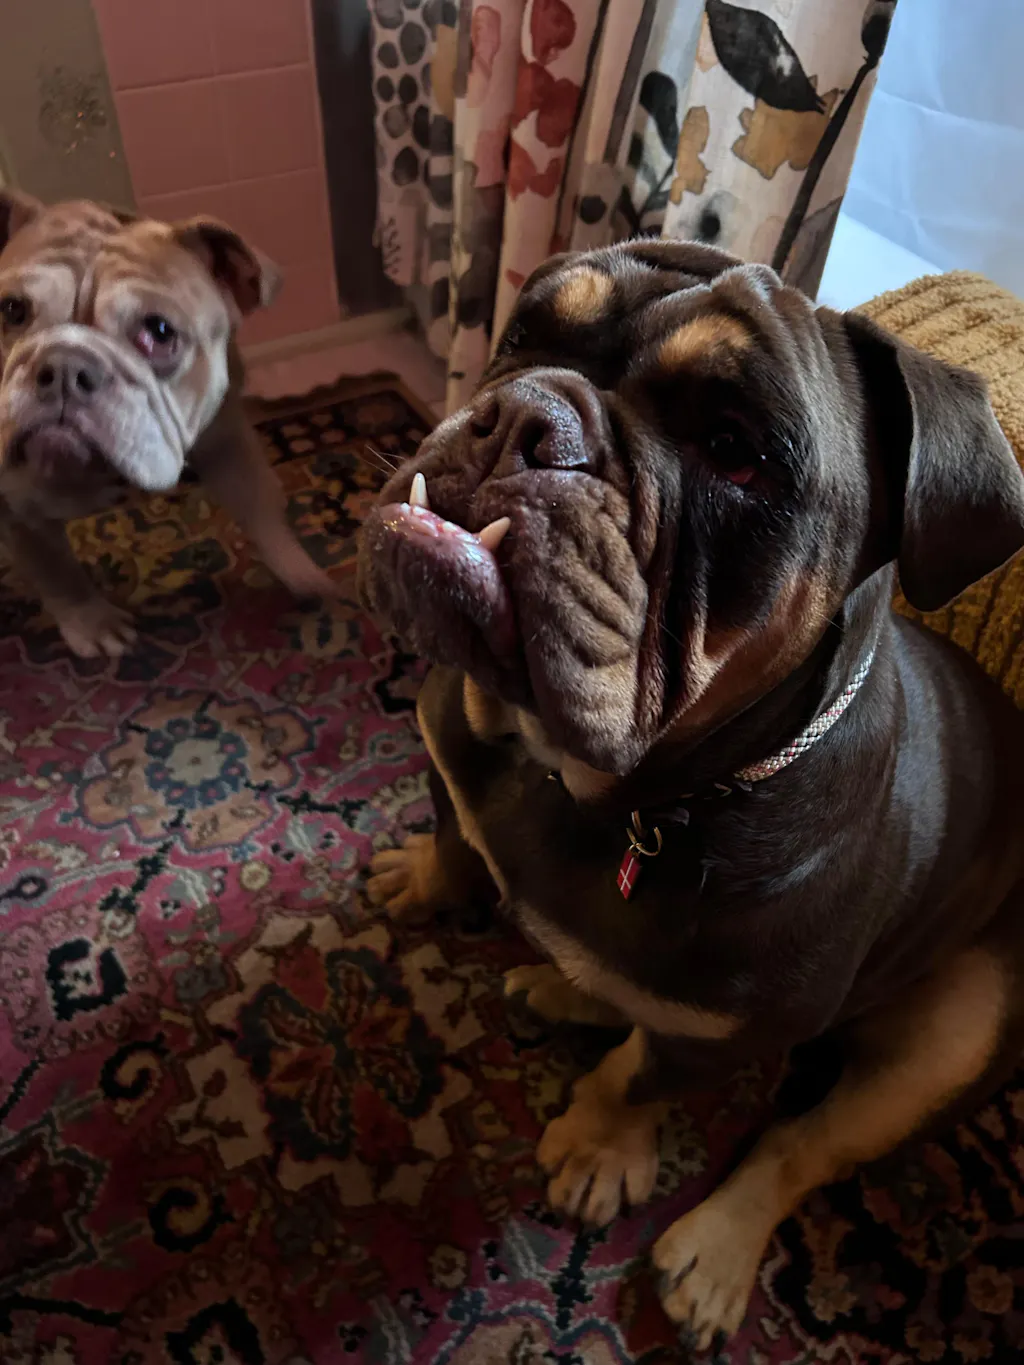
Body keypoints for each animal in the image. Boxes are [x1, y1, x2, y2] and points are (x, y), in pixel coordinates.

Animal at [0, 191, 335, 658]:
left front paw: (304, 576)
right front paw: (94, 624)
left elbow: (259, 505)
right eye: (11, 309)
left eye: (159, 331)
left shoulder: (226, 438)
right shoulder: (17, 512)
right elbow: (56, 571)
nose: (64, 366)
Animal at [358, 239, 1024, 1350]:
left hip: (954, 1034)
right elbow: (454, 836)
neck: (610, 795)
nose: (527, 414)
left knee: (801, 1144)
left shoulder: (736, 1031)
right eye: (525, 333)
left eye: (734, 449)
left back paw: (715, 1250)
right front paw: (422, 874)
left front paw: (598, 1144)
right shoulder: (452, 756)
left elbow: (642, 1081)